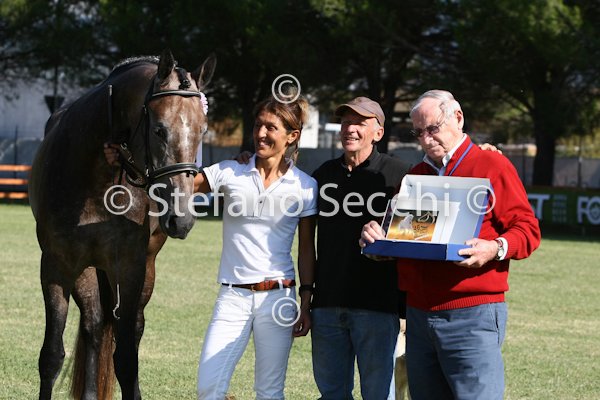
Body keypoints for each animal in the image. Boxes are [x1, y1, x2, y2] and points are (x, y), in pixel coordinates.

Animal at [29, 49, 216, 400]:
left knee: (131, 327)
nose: (182, 219)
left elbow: (127, 360)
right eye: (159, 130)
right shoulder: (57, 266)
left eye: (202, 131)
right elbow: (51, 356)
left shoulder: (129, 267)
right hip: (88, 270)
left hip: (145, 269)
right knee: (93, 325)